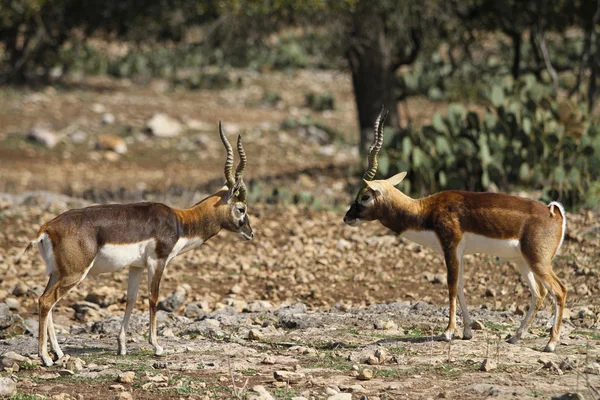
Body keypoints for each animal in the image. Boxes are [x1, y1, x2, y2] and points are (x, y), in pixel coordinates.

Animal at [25, 122, 253, 366]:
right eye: (241, 208)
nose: (250, 233)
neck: (180, 221)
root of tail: (47, 228)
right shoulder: (158, 262)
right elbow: (153, 298)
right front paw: (157, 347)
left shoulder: (136, 267)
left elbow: (131, 300)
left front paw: (122, 346)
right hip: (74, 273)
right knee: (46, 301)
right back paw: (45, 357)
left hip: (57, 273)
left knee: (47, 301)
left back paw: (58, 353)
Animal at [342, 107, 568, 354]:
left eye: (365, 196)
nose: (347, 217)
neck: (425, 210)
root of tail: (554, 213)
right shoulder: (459, 253)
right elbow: (460, 286)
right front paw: (467, 331)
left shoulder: (450, 246)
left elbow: (450, 286)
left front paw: (448, 332)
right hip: (522, 261)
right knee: (539, 293)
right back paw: (515, 337)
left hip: (538, 261)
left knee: (560, 290)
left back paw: (551, 344)